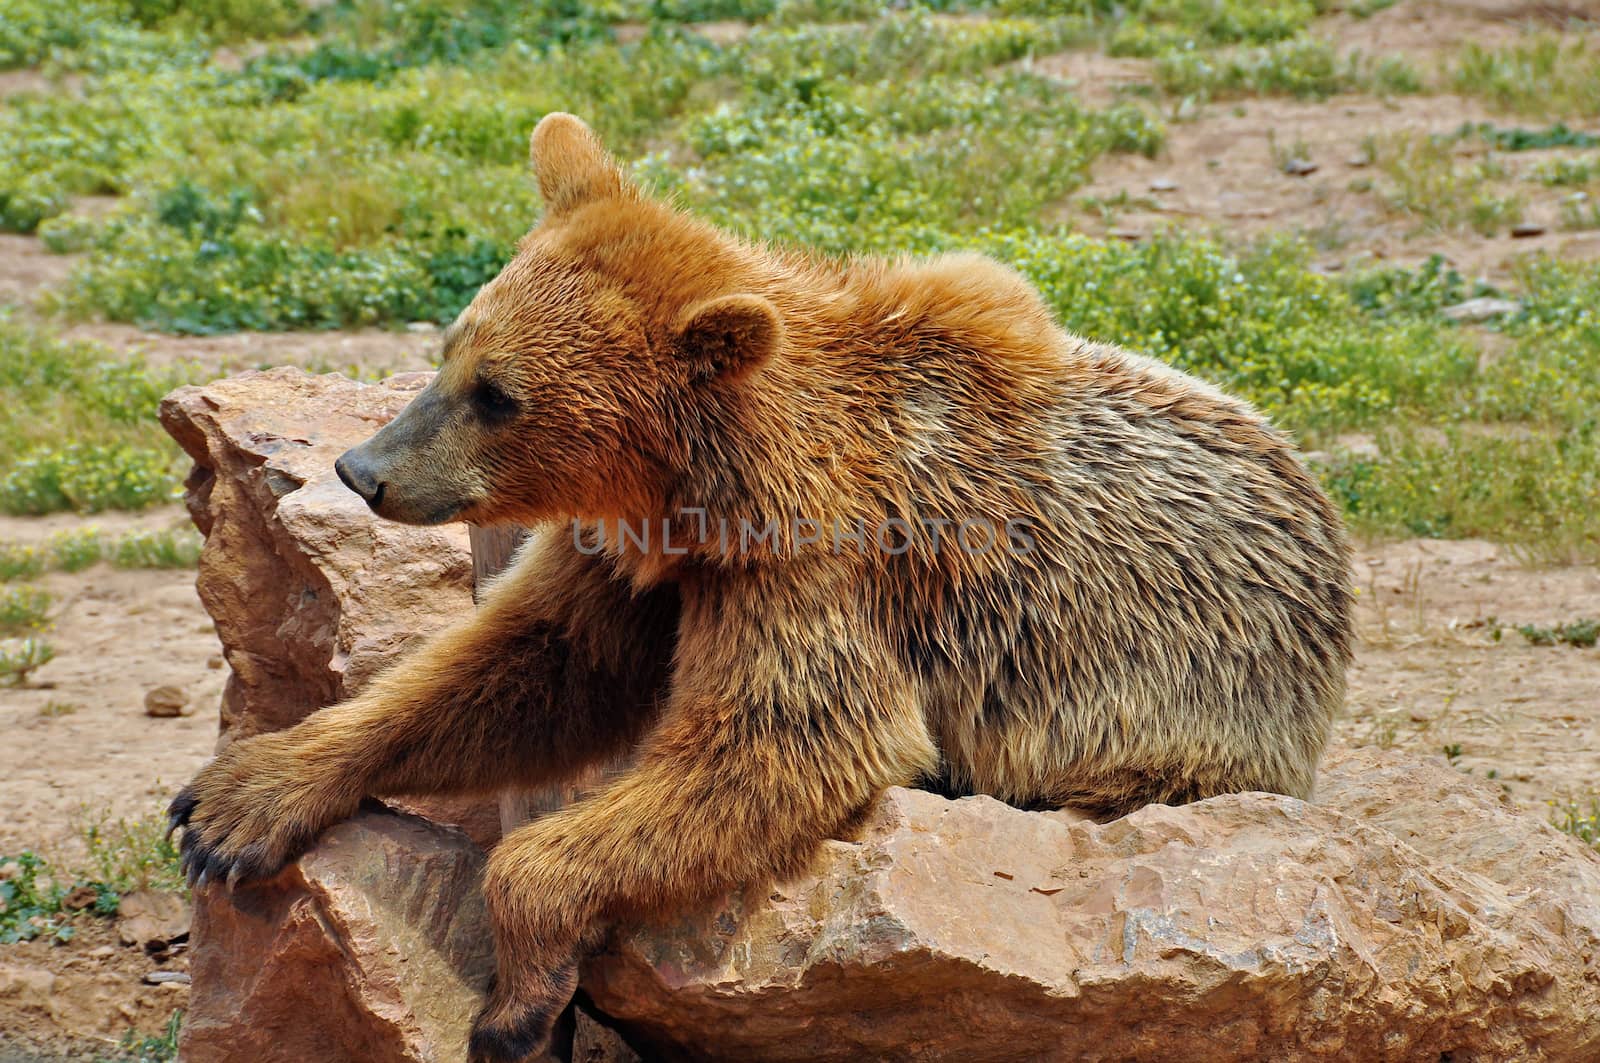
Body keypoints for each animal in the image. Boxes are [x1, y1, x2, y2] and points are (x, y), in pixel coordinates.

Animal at [172, 112, 1350, 1056]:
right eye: (451, 345)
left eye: (498, 394)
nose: (363, 468)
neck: (704, 493)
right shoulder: (633, 570)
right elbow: (520, 667)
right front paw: (233, 804)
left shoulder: (814, 573)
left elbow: (776, 741)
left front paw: (516, 996)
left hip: (1178, 718)